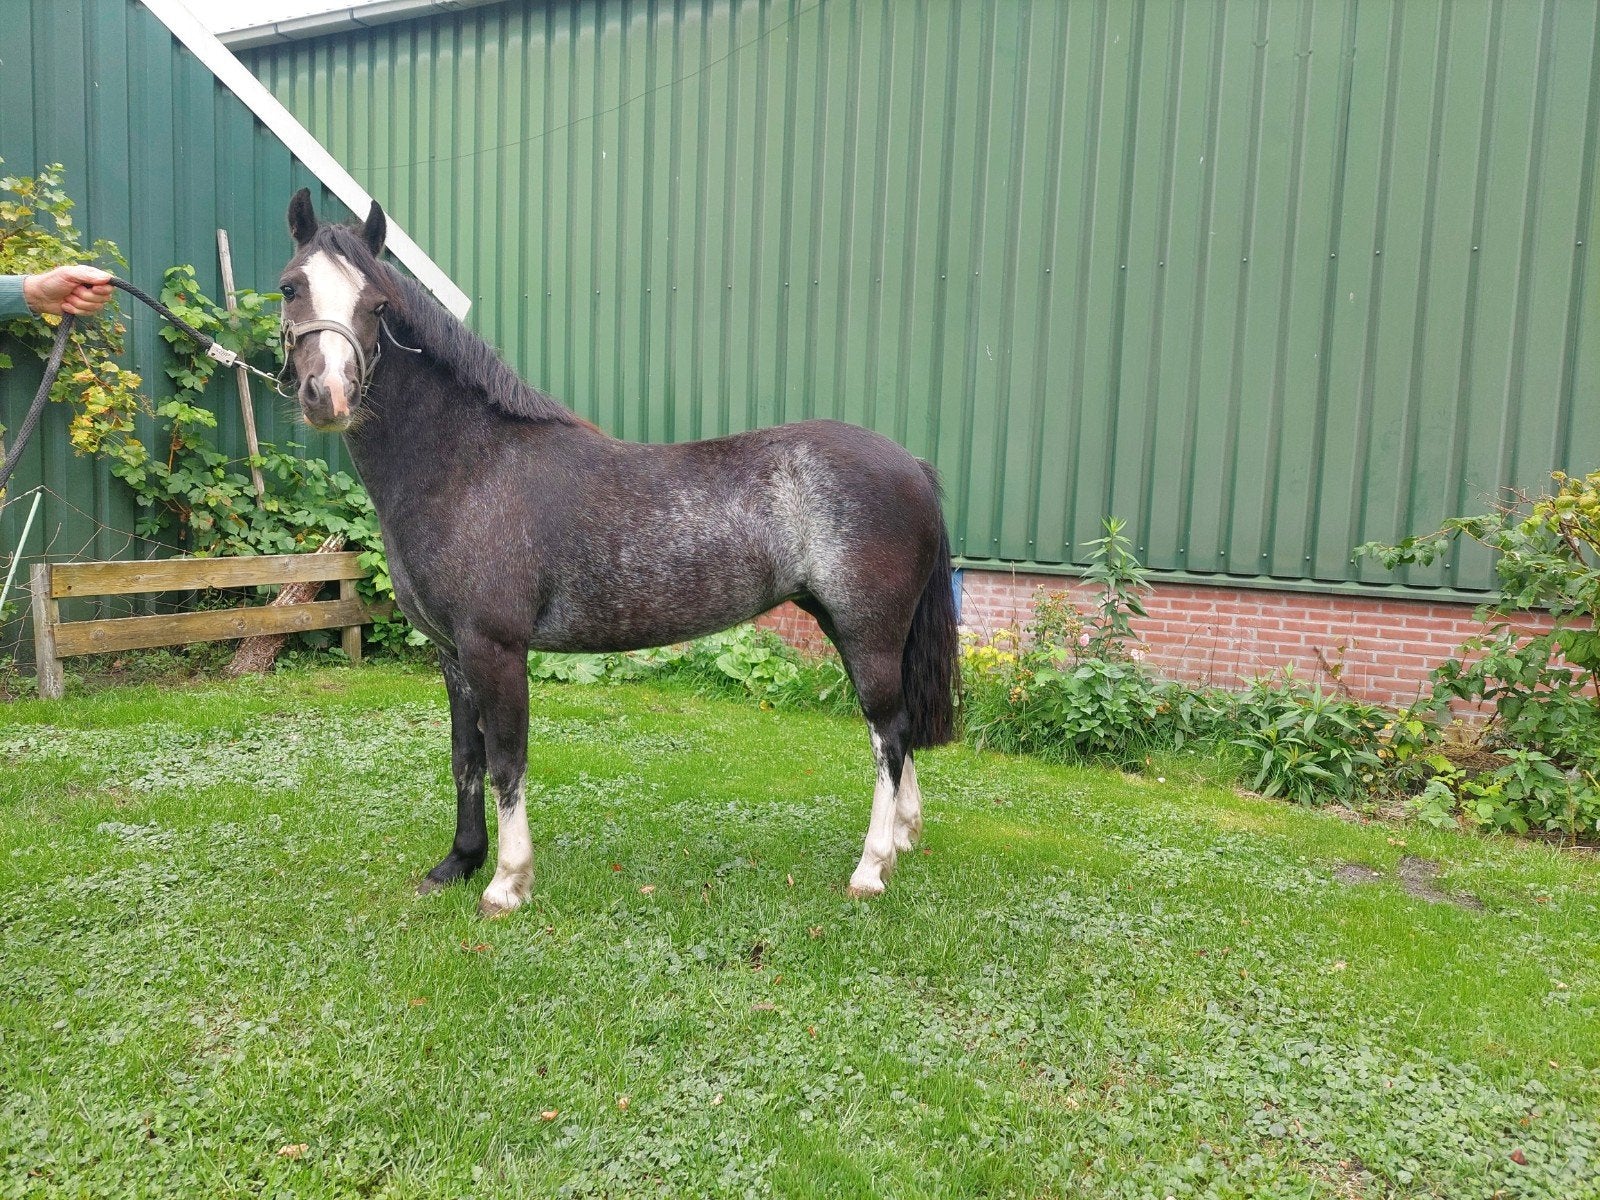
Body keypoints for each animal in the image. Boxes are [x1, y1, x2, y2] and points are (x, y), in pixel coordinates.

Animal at [278, 190, 959, 916]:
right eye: (291, 287)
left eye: (378, 304)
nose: (328, 396)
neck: (469, 466)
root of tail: (912, 465)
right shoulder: (452, 653)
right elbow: (466, 757)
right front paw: (458, 863)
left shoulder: (496, 647)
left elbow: (507, 760)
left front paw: (507, 882)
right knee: (898, 732)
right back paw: (903, 839)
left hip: (867, 632)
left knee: (888, 733)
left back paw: (871, 867)